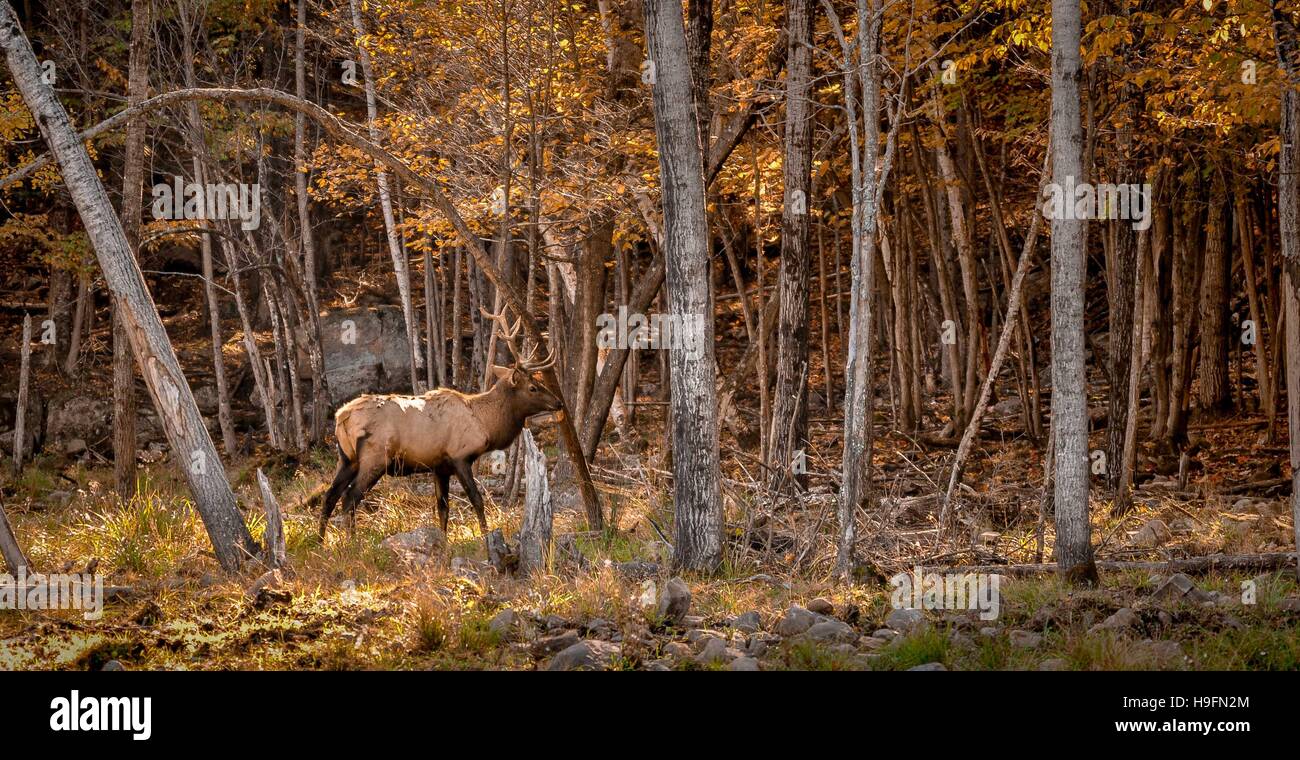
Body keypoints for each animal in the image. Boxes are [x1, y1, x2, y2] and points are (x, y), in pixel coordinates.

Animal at [318, 307, 559, 540]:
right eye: (533, 388)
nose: (558, 402)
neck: (485, 424)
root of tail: (341, 418)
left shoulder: (439, 466)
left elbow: (443, 508)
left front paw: (443, 542)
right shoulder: (459, 457)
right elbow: (476, 500)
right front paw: (485, 536)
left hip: (347, 459)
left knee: (329, 497)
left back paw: (321, 542)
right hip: (375, 457)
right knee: (349, 498)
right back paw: (352, 542)